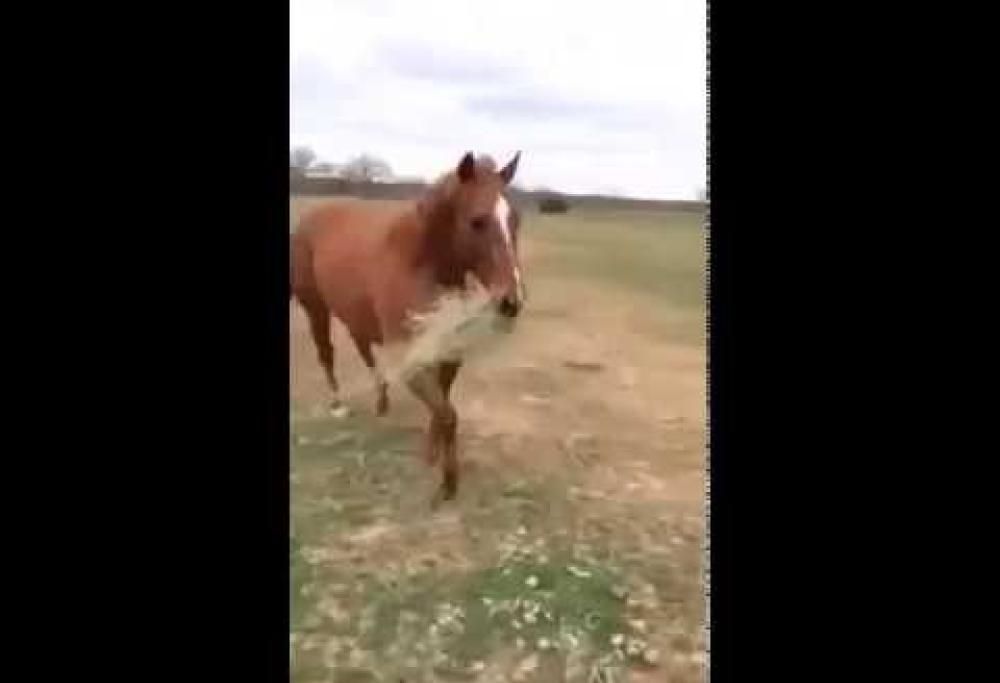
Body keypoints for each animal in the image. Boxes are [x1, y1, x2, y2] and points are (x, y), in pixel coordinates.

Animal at [290, 151, 526, 503]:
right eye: (477, 221)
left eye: (515, 220)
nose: (511, 302)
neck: (419, 264)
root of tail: (312, 216)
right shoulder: (412, 359)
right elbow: (448, 414)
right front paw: (447, 483)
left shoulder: (447, 351)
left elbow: (443, 406)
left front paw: (431, 454)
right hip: (315, 307)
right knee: (326, 353)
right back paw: (338, 406)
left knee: (363, 350)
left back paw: (382, 402)